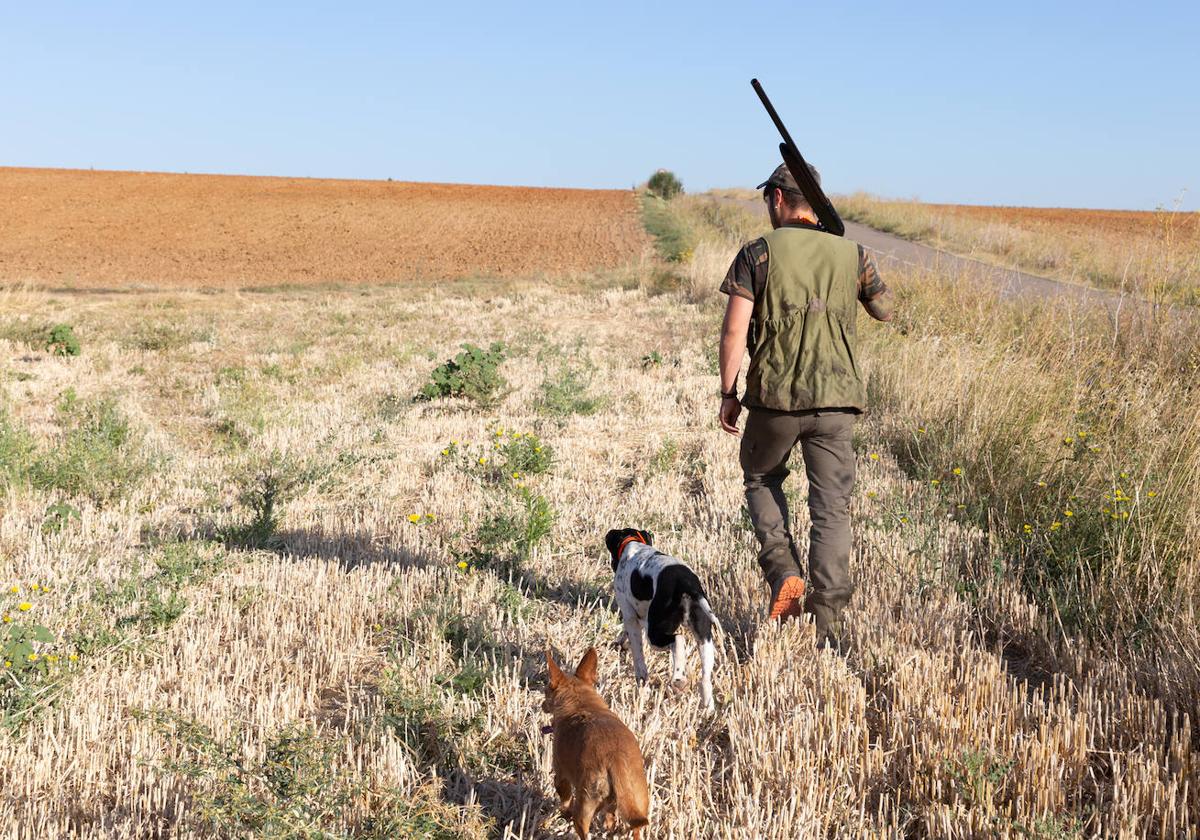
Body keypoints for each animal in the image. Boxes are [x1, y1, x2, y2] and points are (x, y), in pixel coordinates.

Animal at [547, 648, 652, 835]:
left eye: (546, 690)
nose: (543, 705)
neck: (581, 705)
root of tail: (615, 759)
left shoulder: (561, 775)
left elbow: (564, 798)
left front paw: (563, 814)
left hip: (585, 805)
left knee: (583, 828)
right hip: (638, 798)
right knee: (632, 826)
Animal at [604, 528, 715, 710]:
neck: (632, 543)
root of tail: (687, 585)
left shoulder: (629, 614)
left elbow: (638, 657)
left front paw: (642, 683)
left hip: (655, 634)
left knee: (679, 640)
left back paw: (678, 679)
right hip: (704, 638)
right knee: (706, 678)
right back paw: (708, 707)